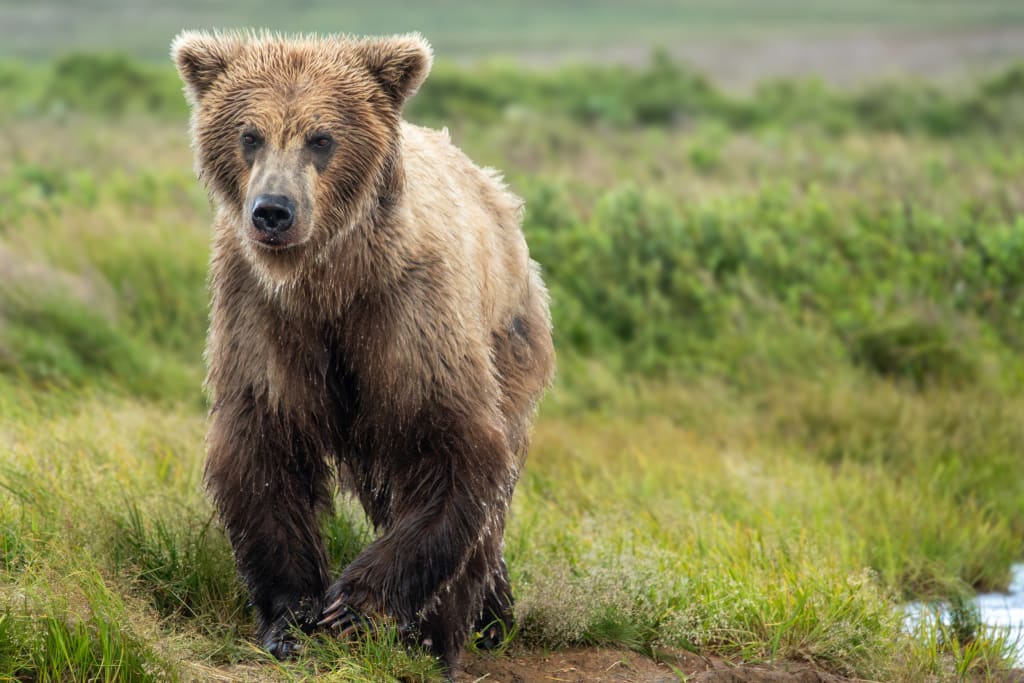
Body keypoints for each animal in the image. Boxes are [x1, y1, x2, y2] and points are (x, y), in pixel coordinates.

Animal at [171, 30, 555, 675]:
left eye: (321, 138)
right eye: (249, 134)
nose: (273, 211)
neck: (331, 281)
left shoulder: (409, 312)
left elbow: (455, 449)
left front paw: (360, 610)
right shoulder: (262, 315)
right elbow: (265, 452)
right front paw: (292, 622)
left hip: (510, 339)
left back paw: (471, 626)